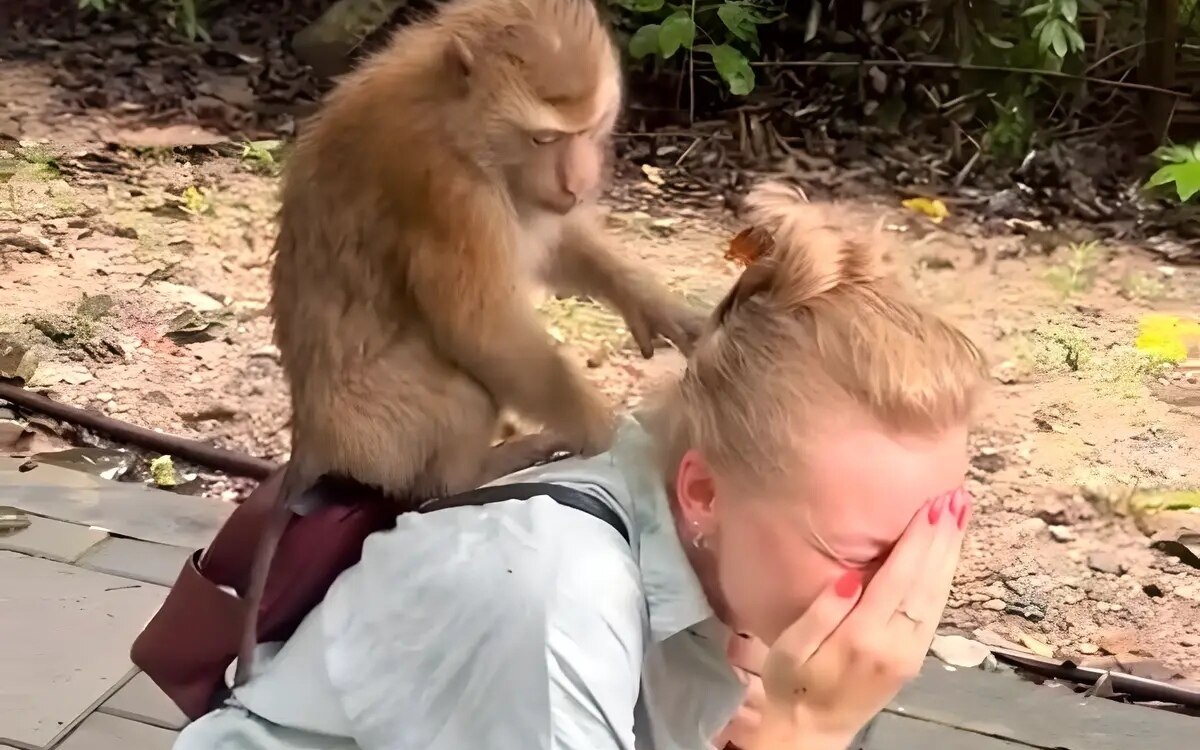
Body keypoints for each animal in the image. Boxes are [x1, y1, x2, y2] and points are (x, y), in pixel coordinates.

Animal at [234, 0, 705, 686]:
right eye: (544, 138)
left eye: (588, 128)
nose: (579, 181)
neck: (461, 122)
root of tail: (309, 438)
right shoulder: (445, 188)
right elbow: (481, 324)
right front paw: (602, 432)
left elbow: (555, 242)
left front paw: (654, 304)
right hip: (378, 425)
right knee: (463, 392)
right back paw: (477, 470)